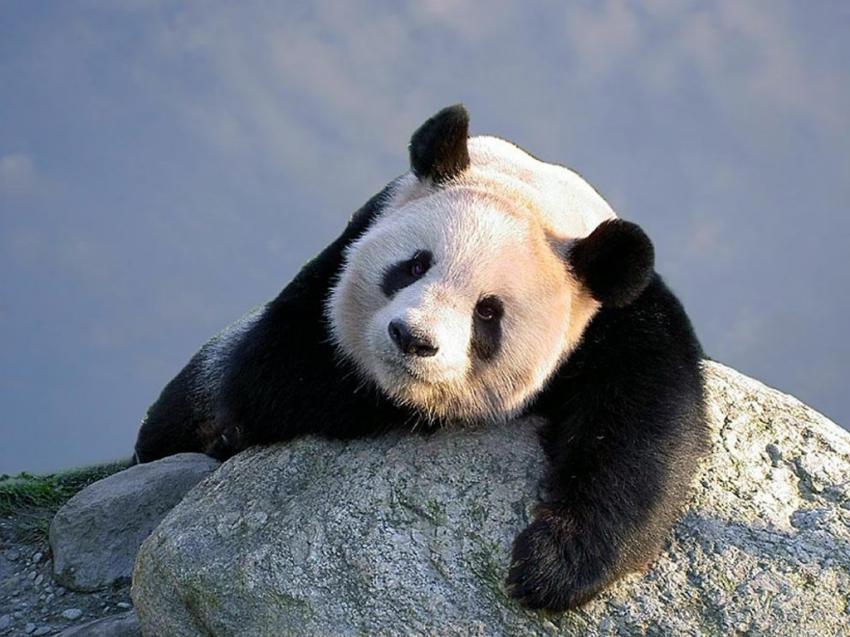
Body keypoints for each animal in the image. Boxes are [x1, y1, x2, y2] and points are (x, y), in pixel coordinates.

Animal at [134, 104, 709, 611]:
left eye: (489, 312)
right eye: (413, 265)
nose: (412, 339)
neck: (530, 189)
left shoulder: (618, 319)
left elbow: (643, 428)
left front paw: (551, 566)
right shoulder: (346, 248)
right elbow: (277, 371)